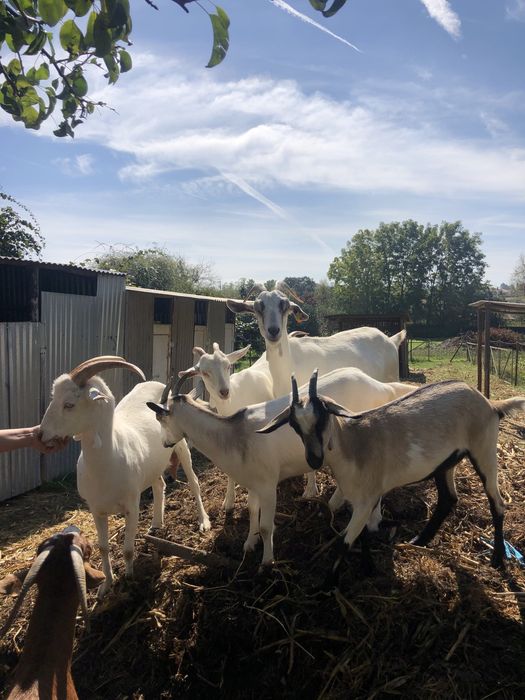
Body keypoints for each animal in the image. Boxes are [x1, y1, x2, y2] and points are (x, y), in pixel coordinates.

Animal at [39, 356, 210, 598]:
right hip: (153, 465)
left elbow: (128, 550)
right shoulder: (96, 509)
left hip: (180, 445)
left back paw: (204, 521)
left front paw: (129, 580)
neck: (106, 462)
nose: (40, 434)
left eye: (69, 404)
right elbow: (103, 548)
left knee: (194, 482)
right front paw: (106, 586)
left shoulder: (132, 505)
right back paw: (156, 524)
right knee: (159, 485)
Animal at [147, 367, 415, 566]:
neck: (235, 435)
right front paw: (249, 543)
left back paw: (372, 520)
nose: (165, 443)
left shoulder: (268, 484)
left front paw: (267, 561)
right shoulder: (254, 482)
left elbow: (267, 526)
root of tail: (381, 386)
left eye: (161, 417)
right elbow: (252, 511)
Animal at [259, 371, 525, 570]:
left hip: (484, 450)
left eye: (323, 416)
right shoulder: (364, 500)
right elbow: (363, 533)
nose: (314, 459)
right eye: (294, 424)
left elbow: (345, 541)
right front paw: (367, 566)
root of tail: (489, 403)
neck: (354, 444)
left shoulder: (367, 497)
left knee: (497, 502)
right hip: (446, 462)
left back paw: (498, 558)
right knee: (448, 498)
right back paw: (420, 539)